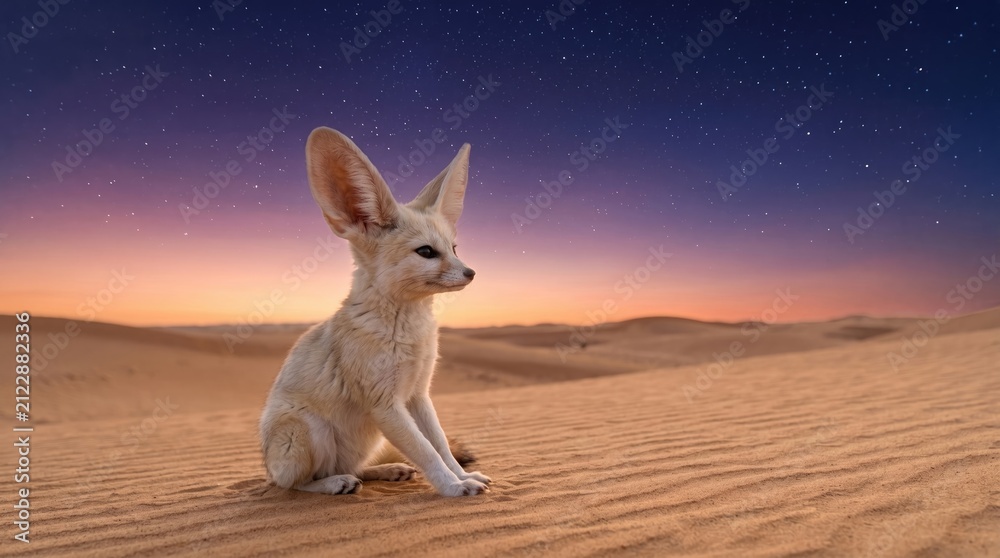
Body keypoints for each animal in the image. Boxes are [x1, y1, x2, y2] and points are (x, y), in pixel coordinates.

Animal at [259, 127, 492, 497]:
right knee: (293, 484)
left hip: (367, 442)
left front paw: (464, 475)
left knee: (353, 468)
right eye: (427, 252)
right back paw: (333, 484)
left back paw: (387, 470)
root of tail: (267, 465)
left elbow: (440, 444)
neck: (408, 329)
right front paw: (454, 487)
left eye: (454, 248)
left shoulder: (418, 394)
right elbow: (426, 452)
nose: (471, 273)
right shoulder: (385, 405)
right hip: (310, 430)